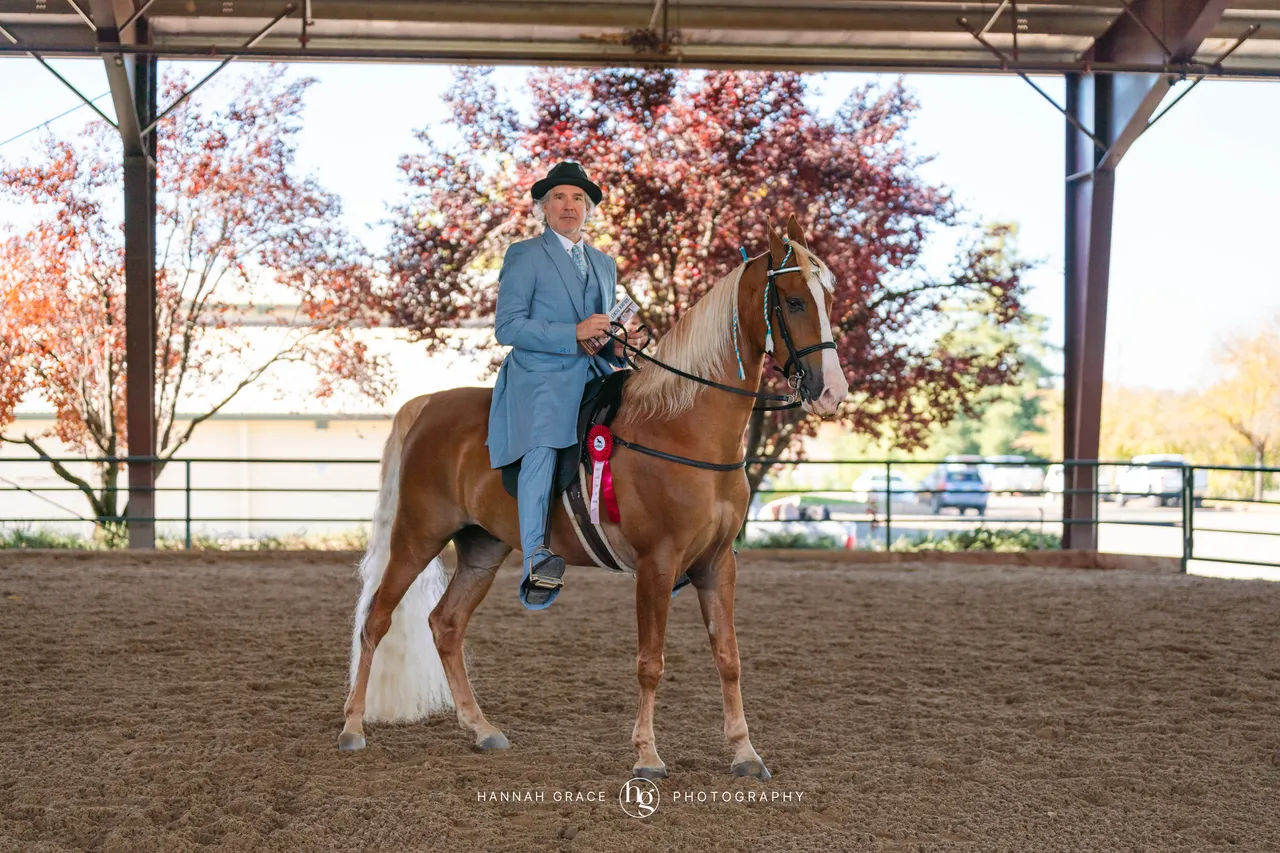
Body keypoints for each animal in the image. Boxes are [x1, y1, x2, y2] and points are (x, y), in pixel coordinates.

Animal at [340, 215, 850, 781]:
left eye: (828, 299)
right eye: (794, 301)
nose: (832, 392)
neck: (684, 426)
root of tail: (428, 405)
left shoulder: (718, 564)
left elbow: (729, 657)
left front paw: (744, 753)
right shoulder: (657, 564)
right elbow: (651, 662)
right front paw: (647, 755)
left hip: (483, 548)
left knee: (446, 625)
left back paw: (481, 728)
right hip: (418, 536)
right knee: (375, 620)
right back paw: (353, 728)